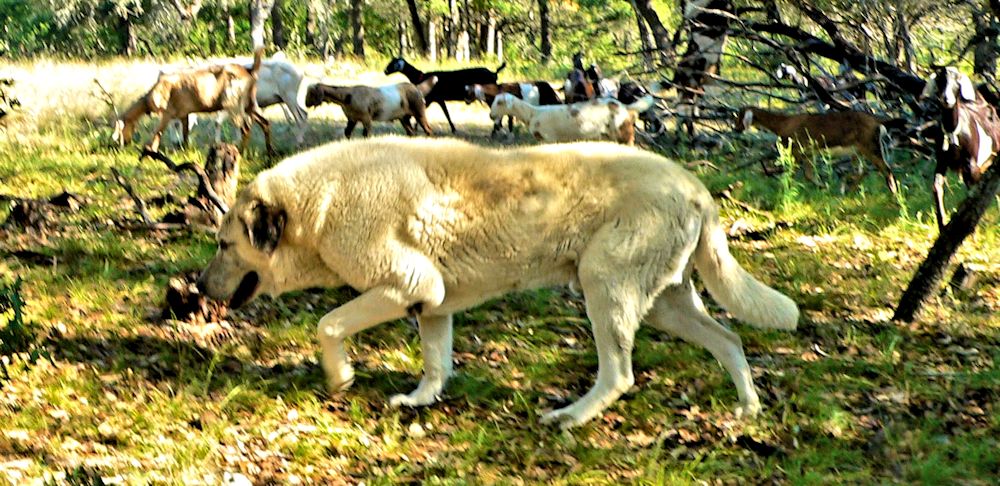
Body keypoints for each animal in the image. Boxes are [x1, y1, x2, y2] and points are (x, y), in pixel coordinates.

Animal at [199, 136, 800, 430]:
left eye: (225, 245)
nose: (201, 288)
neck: (317, 206)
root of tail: (692, 184)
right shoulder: (431, 301)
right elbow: (436, 363)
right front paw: (419, 401)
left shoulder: (404, 285)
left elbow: (328, 325)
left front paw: (340, 377)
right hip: (663, 303)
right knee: (729, 339)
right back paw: (748, 410)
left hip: (605, 289)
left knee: (620, 374)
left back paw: (571, 416)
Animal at [300, 77, 434, 139]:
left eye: (311, 93)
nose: (306, 103)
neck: (347, 96)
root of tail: (417, 89)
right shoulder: (352, 119)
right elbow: (347, 132)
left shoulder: (366, 118)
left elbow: (367, 134)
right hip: (404, 117)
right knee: (411, 132)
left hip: (419, 111)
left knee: (428, 129)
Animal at [486, 91, 656, 143]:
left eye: (499, 102)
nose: (491, 115)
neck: (532, 113)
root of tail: (626, 108)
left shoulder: (549, 138)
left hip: (624, 134)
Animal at [732, 108, 904, 196]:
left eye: (738, 118)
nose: (736, 128)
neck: (783, 124)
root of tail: (877, 121)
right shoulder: (809, 153)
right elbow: (809, 175)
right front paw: (824, 187)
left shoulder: (796, 150)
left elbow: (792, 174)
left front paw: (785, 191)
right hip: (858, 150)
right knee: (865, 170)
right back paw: (847, 189)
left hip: (869, 146)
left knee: (885, 169)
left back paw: (894, 193)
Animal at [920, 66, 1000, 232]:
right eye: (940, 79)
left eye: (957, 81)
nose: (947, 99)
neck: (953, 133)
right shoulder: (942, 161)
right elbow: (936, 187)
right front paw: (942, 224)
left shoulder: (972, 164)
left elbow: (971, 196)